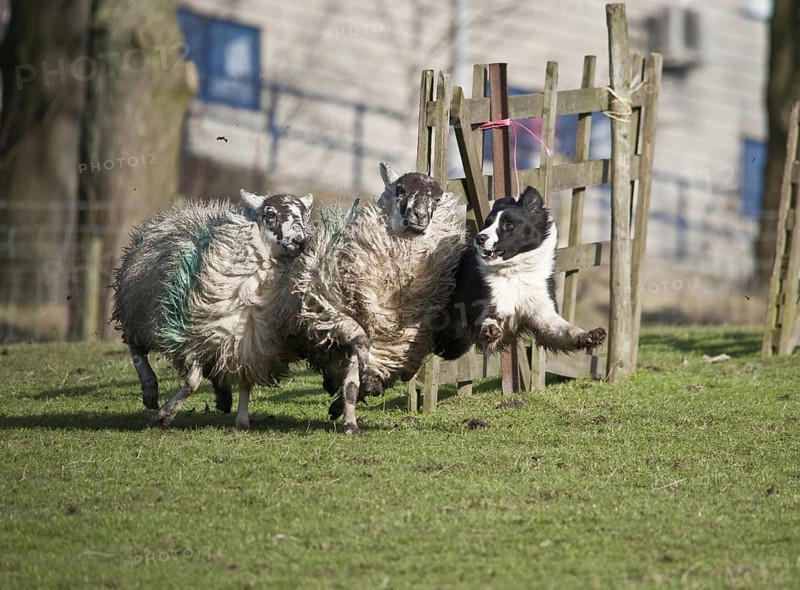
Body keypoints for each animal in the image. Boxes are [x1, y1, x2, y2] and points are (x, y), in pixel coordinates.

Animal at [111, 190, 313, 429]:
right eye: (270, 214)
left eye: (304, 215)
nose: (300, 240)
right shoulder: (194, 336)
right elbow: (192, 382)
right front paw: (165, 415)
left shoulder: (248, 345)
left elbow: (245, 383)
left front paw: (242, 421)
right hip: (137, 314)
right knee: (137, 352)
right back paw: (150, 391)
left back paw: (223, 397)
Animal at [296, 163, 466, 434]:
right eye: (400, 189)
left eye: (437, 199)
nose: (420, 216)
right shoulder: (344, 317)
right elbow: (354, 376)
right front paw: (350, 422)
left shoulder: (399, 344)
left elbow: (358, 383)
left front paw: (352, 405)